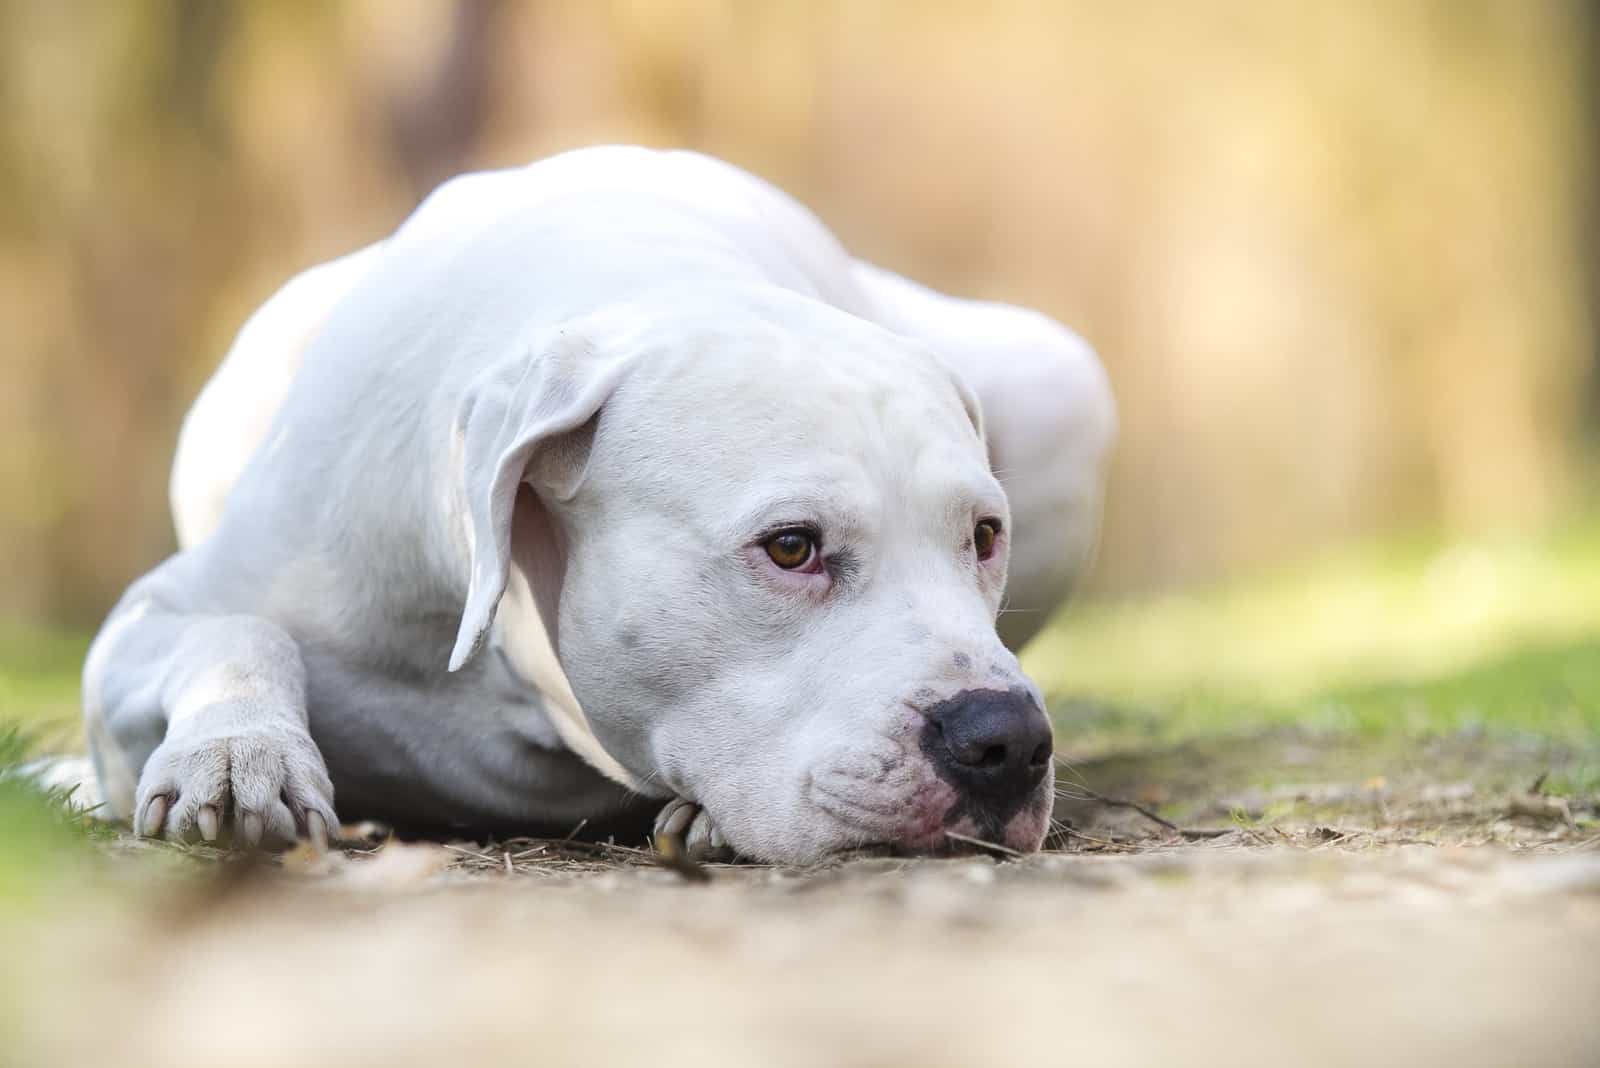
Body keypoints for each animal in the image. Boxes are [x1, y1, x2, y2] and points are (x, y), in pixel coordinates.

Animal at [78, 146, 1113, 863]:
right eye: (790, 547)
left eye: (985, 536)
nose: (1006, 739)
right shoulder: (153, 619)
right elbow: (237, 632)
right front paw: (236, 750)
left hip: (1061, 379)